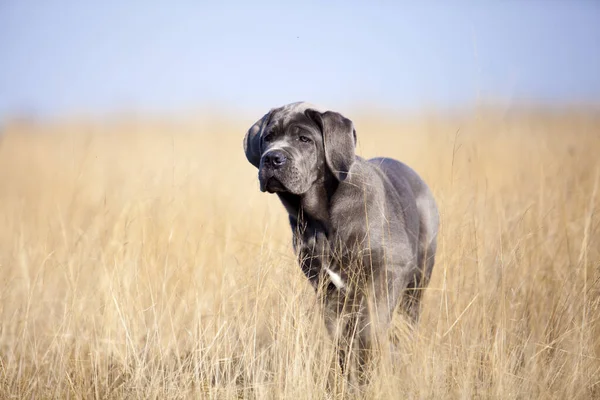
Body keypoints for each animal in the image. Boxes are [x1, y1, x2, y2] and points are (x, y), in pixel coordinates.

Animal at [241, 101, 438, 382]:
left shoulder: (388, 273)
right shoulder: (327, 290)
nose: (272, 158)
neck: (321, 217)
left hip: (417, 282)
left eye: (304, 139)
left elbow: (368, 331)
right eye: (268, 138)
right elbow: (342, 340)